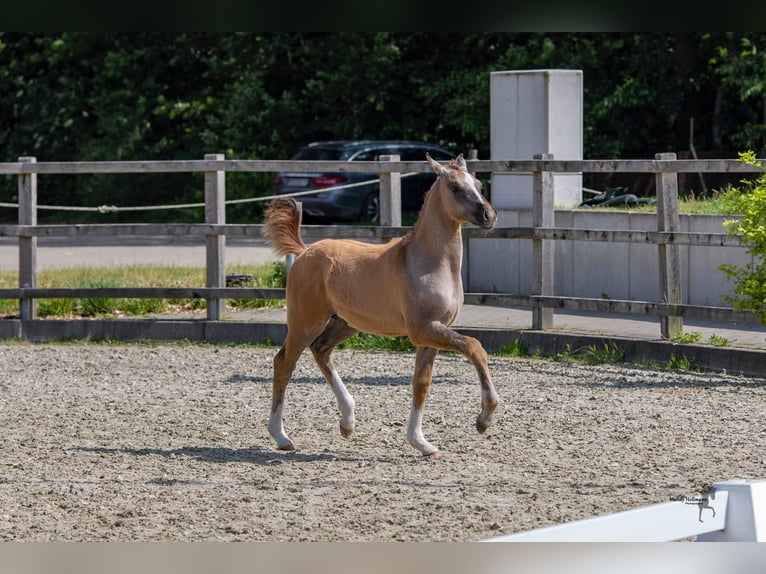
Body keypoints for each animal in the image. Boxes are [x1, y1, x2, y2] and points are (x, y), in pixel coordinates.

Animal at [264, 154, 500, 460]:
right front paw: (484, 418)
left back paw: (347, 424)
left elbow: (421, 384)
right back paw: (282, 437)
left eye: (479, 185)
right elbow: (474, 347)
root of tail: (304, 252)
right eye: (455, 187)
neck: (429, 263)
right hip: (305, 323)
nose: (489, 216)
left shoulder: (431, 335)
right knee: (284, 363)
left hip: (344, 323)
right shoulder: (423, 329)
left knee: (321, 351)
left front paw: (421, 443)